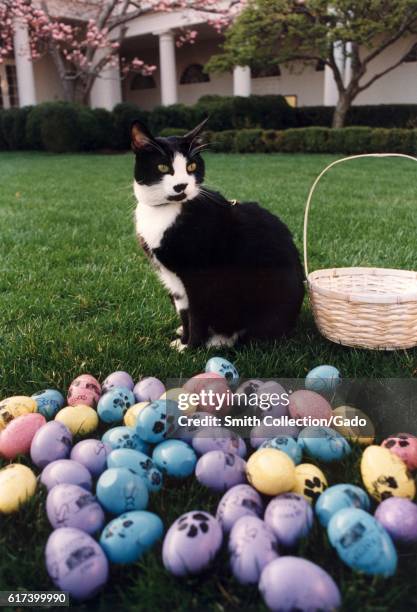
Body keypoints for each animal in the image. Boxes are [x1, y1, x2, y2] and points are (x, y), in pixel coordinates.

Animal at [132, 118, 304, 350]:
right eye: (162, 166)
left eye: (191, 166)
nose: (181, 186)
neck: (164, 212)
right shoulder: (174, 281)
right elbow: (184, 312)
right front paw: (183, 340)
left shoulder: (199, 277)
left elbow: (196, 315)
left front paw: (190, 347)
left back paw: (220, 340)